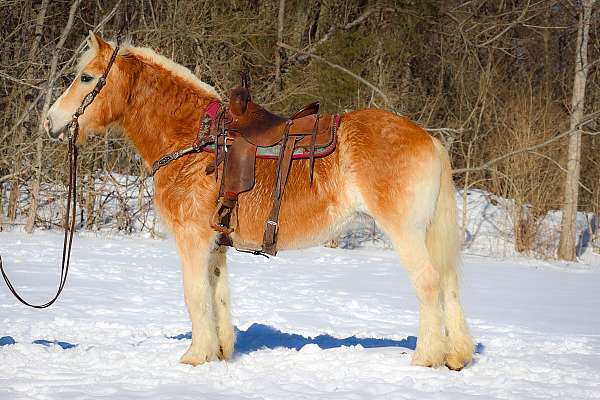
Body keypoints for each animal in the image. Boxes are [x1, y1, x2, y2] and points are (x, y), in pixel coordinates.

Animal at [43, 32, 474, 370]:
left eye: (86, 77)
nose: (50, 121)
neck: (191, 140)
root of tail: (428, 138)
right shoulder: (215, 244)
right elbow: (217, 294)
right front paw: (218, 351)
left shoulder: (192, 240)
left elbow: (194, 295)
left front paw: (195, 356)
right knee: (449, 282)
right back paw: (456, 356)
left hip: (405, 232)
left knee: (430, 283)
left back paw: (426, 357)